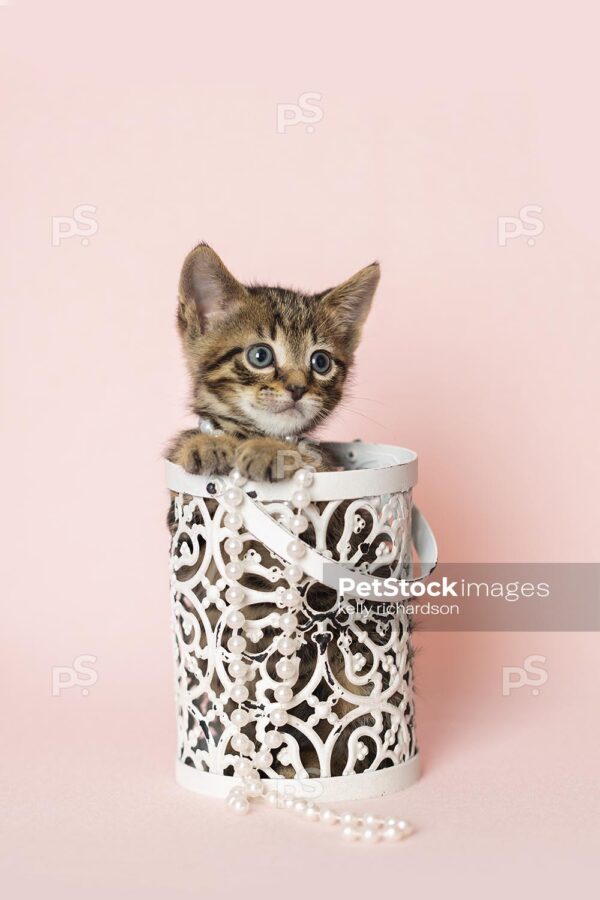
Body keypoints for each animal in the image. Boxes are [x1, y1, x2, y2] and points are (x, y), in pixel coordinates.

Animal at [166, 239, 378, 478]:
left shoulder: (326, 467)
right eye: (261, 356)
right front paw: (207, 442)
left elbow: (304, 454)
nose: (298, 388)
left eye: (321, 362)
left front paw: (270, 449)